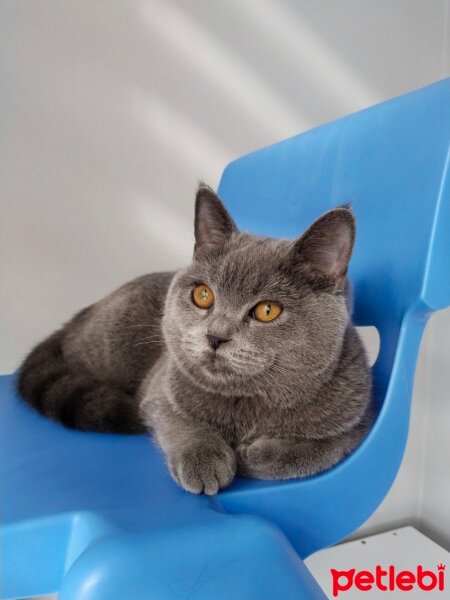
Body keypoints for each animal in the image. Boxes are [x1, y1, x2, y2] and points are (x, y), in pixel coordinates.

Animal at [17, 185, 372, 494]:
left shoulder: (360, 421)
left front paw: (254, 454)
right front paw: (206, 460)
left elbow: (322, 450)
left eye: (267, 310)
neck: (247, 404)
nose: (216, 335)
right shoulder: (159, 391)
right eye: (203, 295)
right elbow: (182, 423)